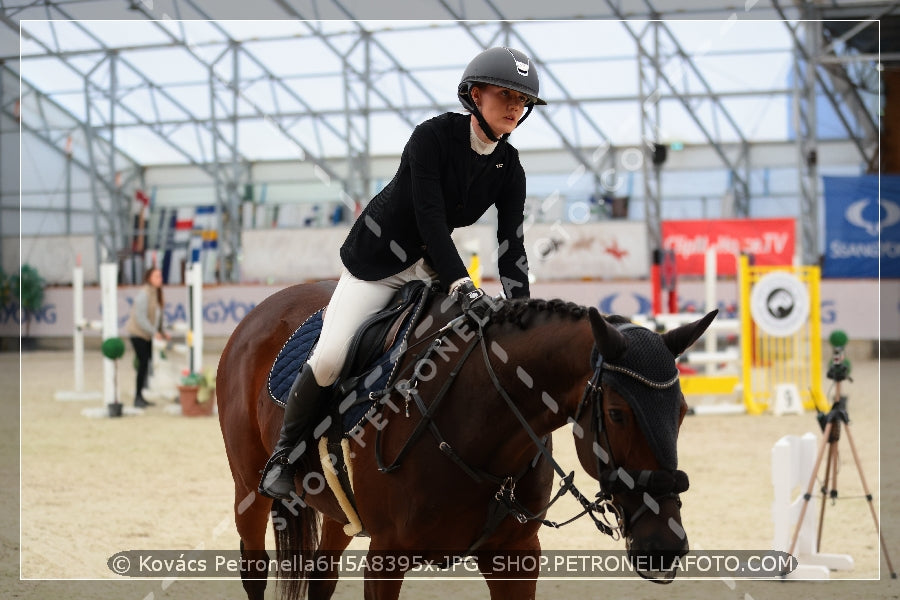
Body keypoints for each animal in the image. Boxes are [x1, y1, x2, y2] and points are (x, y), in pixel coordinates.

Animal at [214, 284, 712, 600]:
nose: (664, 547)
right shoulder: (387, 556)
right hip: (249, 489)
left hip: (339, 509)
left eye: (682, 412)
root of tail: (262, 310)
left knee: (322, 577)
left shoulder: (515, 557)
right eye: (617, 414)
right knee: (254, 569)